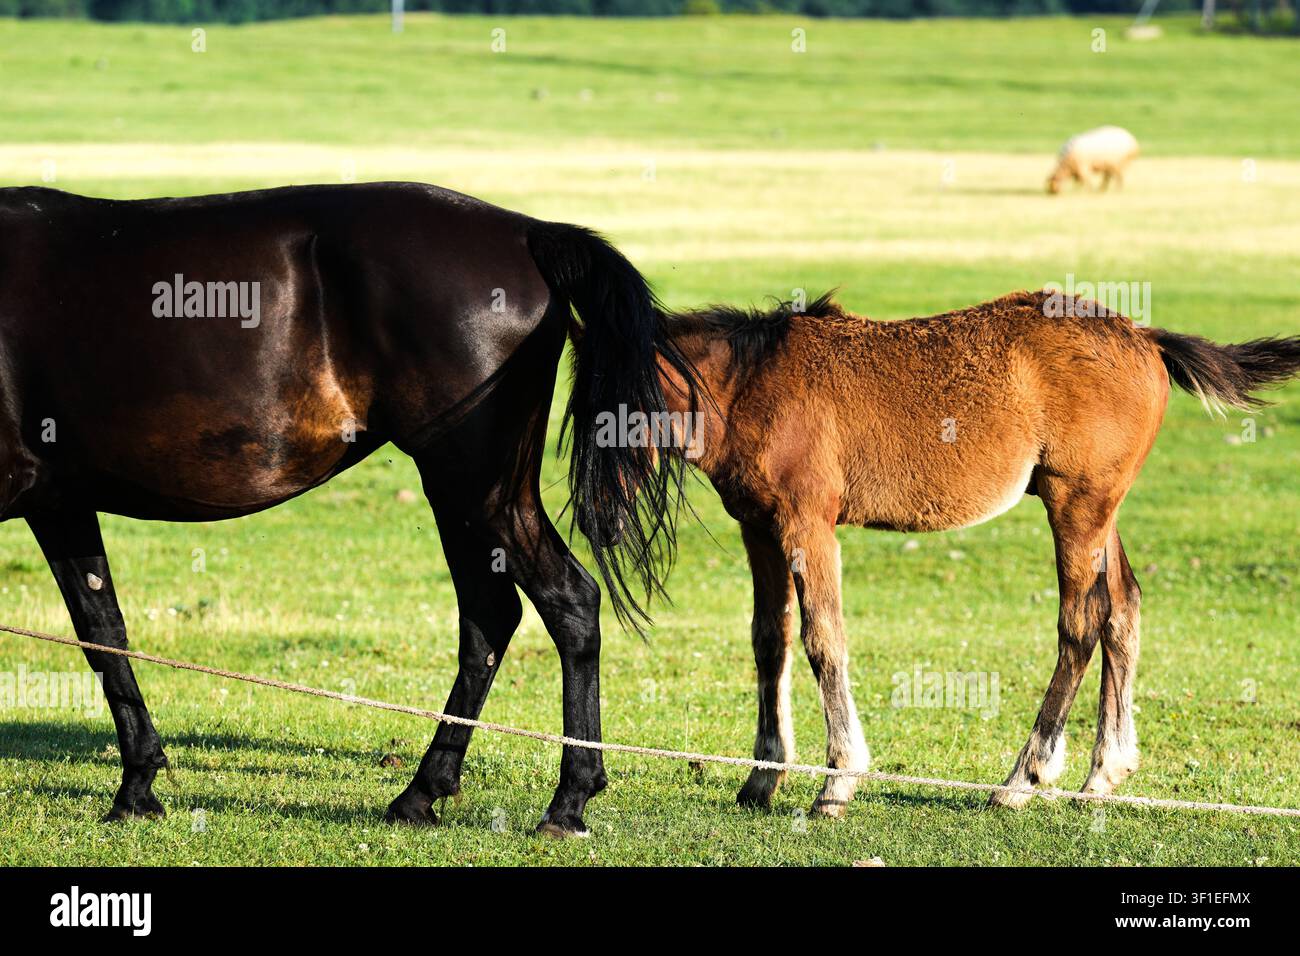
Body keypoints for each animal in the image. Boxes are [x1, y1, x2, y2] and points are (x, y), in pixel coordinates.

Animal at [0, 181, 697, 836]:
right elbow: (104, 632)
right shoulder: (60, 505)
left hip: (476, 487)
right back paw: (423, 793)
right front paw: (138, 786)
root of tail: (528, 233)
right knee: (490, 620)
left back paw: (567, 799)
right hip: (463, 493)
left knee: (568, 601)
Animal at [650, 289, 1300, 816]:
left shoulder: (808, 526)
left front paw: (836, 784)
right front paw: (761, 779)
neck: (751, 382)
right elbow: (770, 640)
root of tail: (1145, 337)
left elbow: (823, 640)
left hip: (1075, 505)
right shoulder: (758, 528)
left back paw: (1022, 779)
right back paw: (1101, 775)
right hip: (1100, 512)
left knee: (1083, 621)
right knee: (1122, 609)